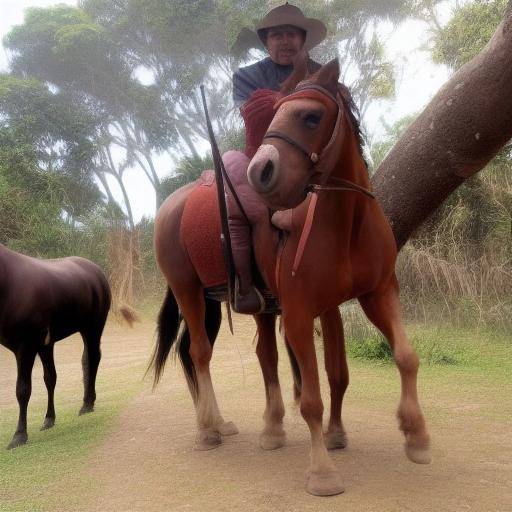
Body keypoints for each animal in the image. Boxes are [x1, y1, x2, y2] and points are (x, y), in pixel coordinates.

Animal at [151, 59, 428, 496]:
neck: (345, 223)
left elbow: (396, 358)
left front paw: (414, 435)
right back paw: (208, 429)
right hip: (187, 290)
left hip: (239, 302)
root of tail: (170, 206)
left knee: (260, 354)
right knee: (199, 353)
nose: (261, 171)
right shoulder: (299, 313)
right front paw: (323, 472)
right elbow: (312, 398)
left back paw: (260, 427)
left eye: (310, 116)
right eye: (275, 114)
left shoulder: (376, 295)